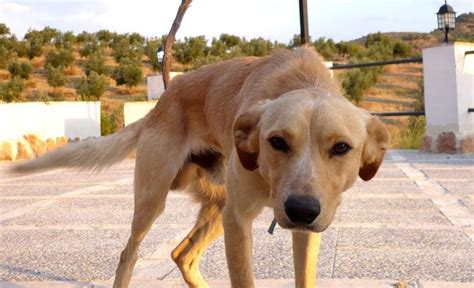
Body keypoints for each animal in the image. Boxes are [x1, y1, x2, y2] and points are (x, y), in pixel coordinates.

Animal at [12, 46, 388, 286]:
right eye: (277, 141)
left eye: (341, 148)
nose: (301, 210)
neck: (303, 81)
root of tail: (161, 102)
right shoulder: (238, 219)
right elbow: (244, 280)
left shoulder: (308, 230)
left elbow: (305, 276)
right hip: (154, 200)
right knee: (128, 254)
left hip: (217, 205)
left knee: (182, 254)